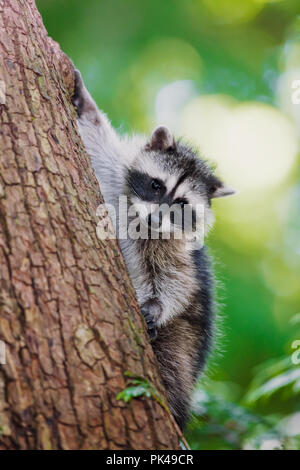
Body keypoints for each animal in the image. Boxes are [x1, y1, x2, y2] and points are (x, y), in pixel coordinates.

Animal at [72, 70, 234, 430]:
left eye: (181, 204)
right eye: (156, 185)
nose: (154, 218)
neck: (139, 220)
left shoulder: (177, 250)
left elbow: (176, 280)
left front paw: (157, 305)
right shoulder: (117, 179)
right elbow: (99, 143)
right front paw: (85, 106)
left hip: (187, 339)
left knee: (175, 369)